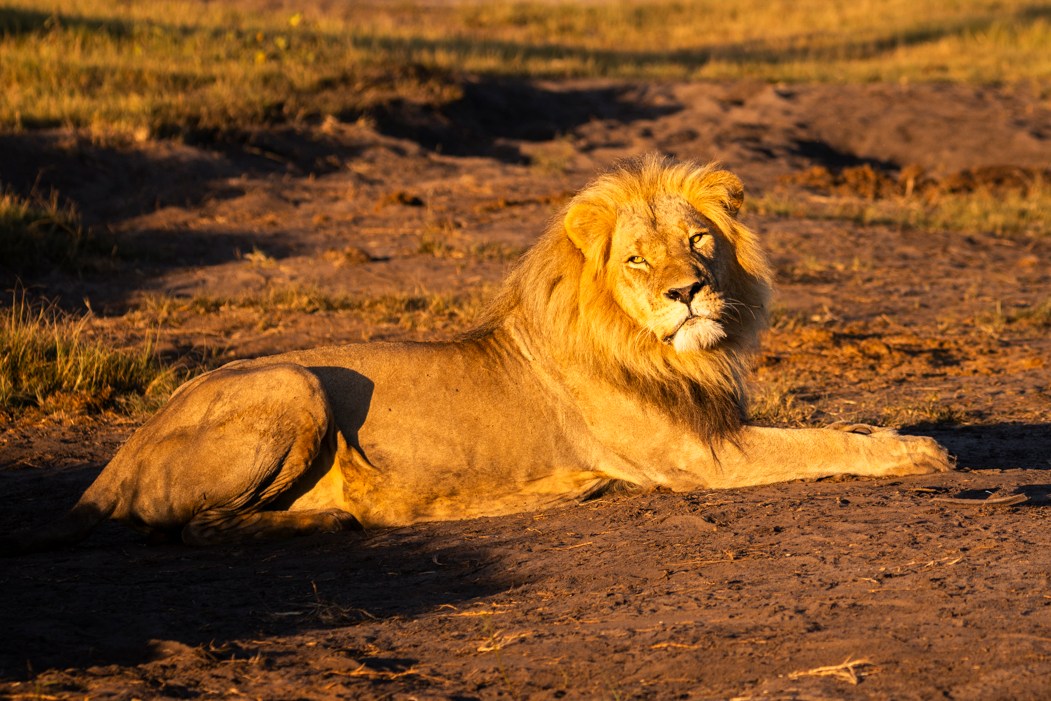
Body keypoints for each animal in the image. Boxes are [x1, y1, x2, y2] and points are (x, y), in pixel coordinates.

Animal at [9, 154, 951, 552]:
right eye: (637, 260)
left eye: (698, 242)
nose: (686, 293)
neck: (679, 352)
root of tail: (118, 455)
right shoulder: (699, 457)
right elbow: (820, 443)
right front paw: (921, 454)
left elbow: (843, 425)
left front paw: (901, 434)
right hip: (294, 382)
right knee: (198, 527)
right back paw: (335, 518)